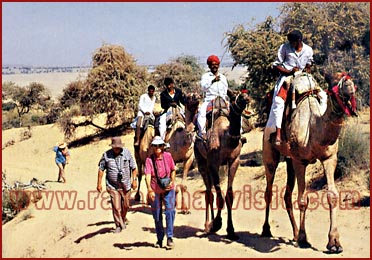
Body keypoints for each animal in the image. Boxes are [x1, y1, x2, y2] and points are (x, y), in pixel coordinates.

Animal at [193, 93, 248, 240]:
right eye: (234, 96)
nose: (245, 97)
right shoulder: (213, 163)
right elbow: (219, 198)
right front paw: (217, 223)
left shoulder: (234, 161)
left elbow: (229, 196)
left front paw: (231, 230)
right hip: (201, 162)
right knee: (208, 193)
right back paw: (207, 225)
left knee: (210, 191)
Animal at [262, 72, 358, 253]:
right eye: (333, 85)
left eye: (350, 79)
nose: (349, 87)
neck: (314, 128)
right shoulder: (300, 161)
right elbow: (302, 199)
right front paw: (303, 239)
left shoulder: (329, 158)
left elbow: (332, 195)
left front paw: (334, 242)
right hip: (270, 153)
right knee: (268, 191)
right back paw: (266, 230)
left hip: (290, 161)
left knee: (286, 195)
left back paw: (293, 234)